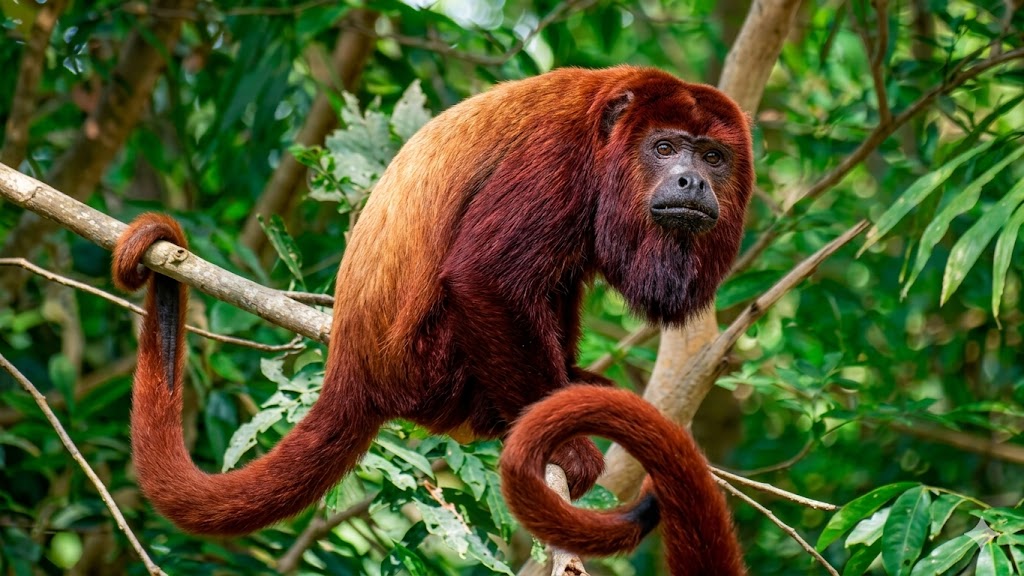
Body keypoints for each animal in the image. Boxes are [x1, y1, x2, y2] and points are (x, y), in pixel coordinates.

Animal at [112, 65, 753, 537]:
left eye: (713, 157)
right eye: (664, 148)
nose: (692, 181)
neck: (607, 137)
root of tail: (353, 367)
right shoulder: (557, 155)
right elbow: (486, 276)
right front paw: (569, 451)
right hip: (432, 365)